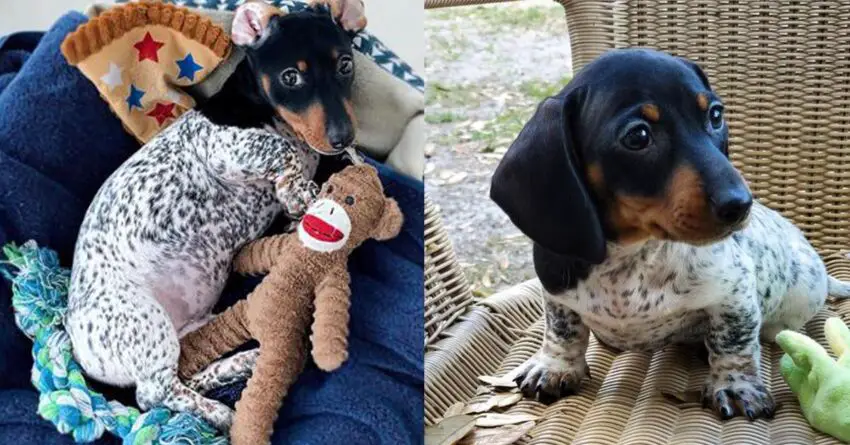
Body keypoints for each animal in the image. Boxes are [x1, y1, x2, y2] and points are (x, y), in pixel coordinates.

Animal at [486, 48, 848, 420]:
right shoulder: (555, 292)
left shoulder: (734, 295)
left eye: (715, 115)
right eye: (638, 136)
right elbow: (562, 330)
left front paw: (736, 386)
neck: (630, 256)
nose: (741, 205)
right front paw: (556, 366)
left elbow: (734, 344)